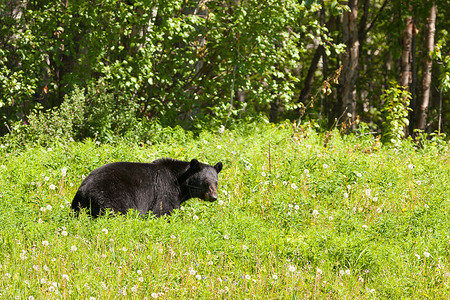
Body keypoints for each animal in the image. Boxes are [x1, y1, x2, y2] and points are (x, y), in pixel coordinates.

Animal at [71, 158, 223, 217]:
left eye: (216, 183)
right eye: (205, 183)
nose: (214, 197)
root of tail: (82, 192)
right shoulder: (165, 191)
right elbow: (163, 210)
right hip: (111, 195)